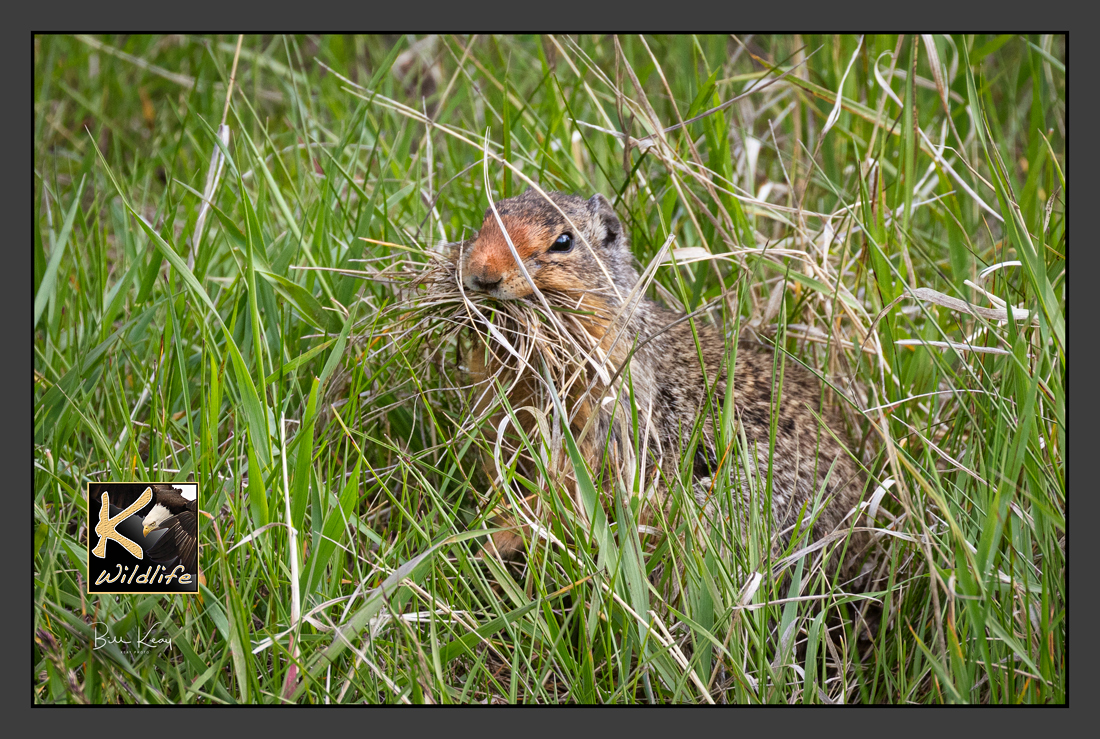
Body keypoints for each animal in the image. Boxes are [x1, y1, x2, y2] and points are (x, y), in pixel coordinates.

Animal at [456, 188, 870, 582]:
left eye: (563, 241)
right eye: (487, 217)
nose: (483, 275)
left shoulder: (606, 421)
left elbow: (564, 488)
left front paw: (492, 543)